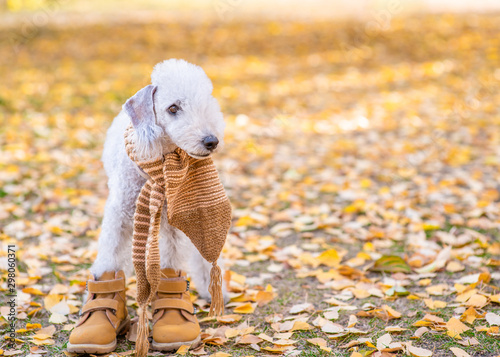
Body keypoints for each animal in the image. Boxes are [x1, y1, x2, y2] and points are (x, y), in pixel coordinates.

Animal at [92, 59, 227, 298]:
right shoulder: (119, 217)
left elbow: (171, 261)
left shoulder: (174, 227)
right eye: (173, 108)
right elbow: (111, 255)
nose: (211, 141)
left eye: (205, 104)